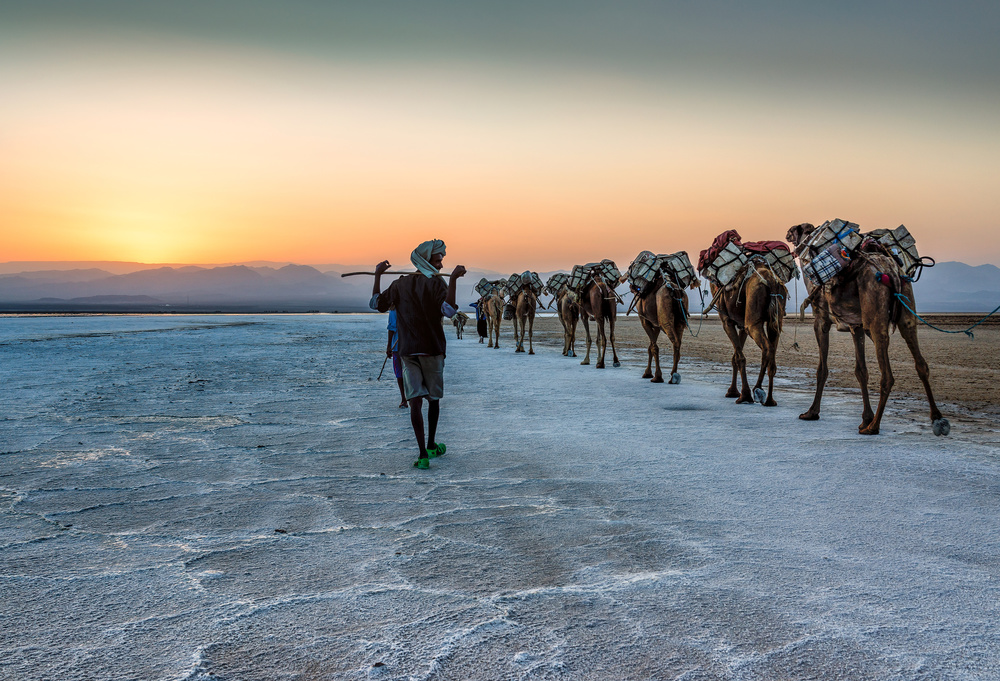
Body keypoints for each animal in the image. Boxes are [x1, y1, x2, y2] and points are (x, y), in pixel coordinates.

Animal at [712, 255, 788, 404]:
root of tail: (771, 280)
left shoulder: (727, 321)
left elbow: (739, 357)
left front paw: (741, 394)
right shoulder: (742, 324)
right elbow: (736, 355)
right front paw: (734, 391)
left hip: (753, 317)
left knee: (767, 347)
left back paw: (756, 391)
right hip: (775, 319)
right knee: (771, 349)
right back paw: (769, 399)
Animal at [784, 223, 948, 436]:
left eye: (794, 232)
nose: (787, 236)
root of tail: (889, 271)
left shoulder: (821, 321)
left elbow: (822, 368)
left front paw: (812, 412)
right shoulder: (857, 326)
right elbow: (861, 370)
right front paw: (865, 417)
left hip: (875, 312)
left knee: (887, 375)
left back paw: (874, 426)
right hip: (906, 310)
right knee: (921, 363)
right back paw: (936, 417)